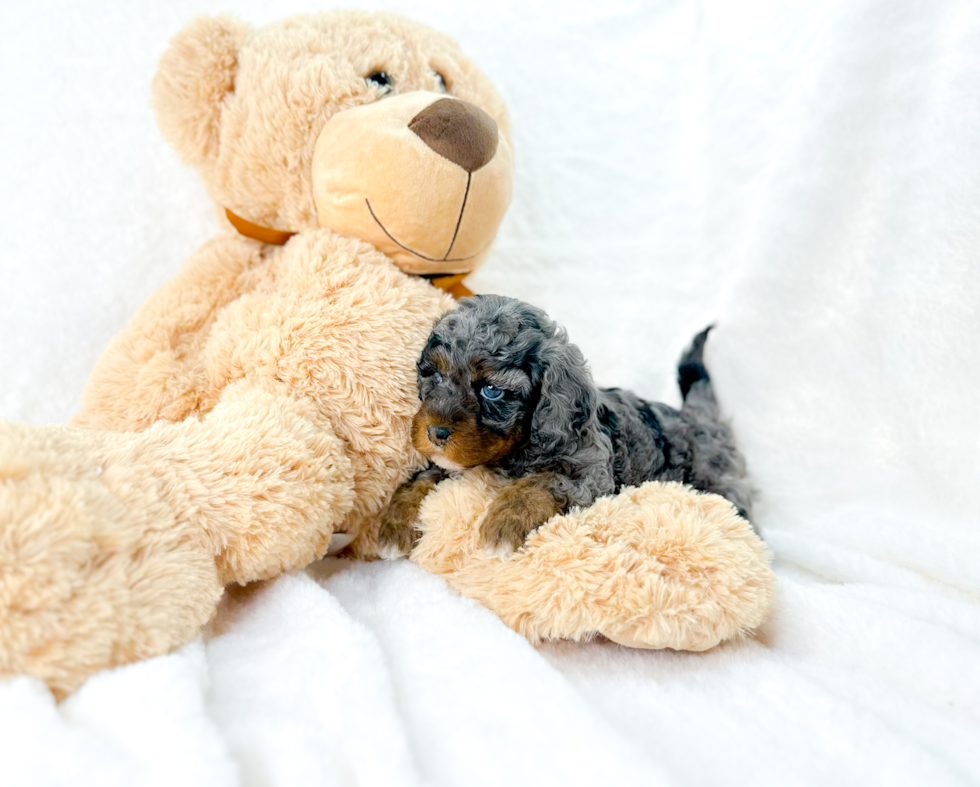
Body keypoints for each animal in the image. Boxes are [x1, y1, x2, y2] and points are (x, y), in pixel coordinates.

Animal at [378, 292, 756, 556]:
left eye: (492, 390)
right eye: (436, 375)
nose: (435, 433)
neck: (515, 451)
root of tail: (700, 417)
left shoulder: (589, 471)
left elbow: (538, 483)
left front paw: (504, 524)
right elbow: (418, 478)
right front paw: (392, 527)